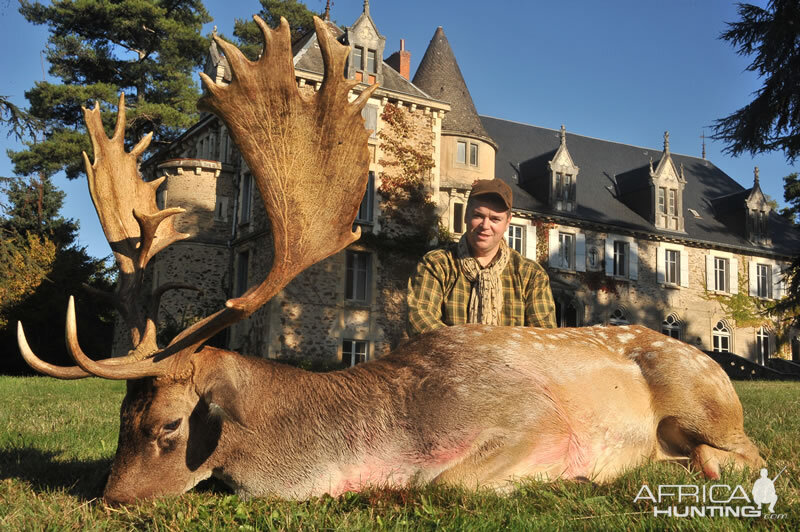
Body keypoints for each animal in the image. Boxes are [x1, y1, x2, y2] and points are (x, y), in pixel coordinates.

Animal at [14, 16, 764, 504]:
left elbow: (445, 480)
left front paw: (581, 471)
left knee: (742, 452)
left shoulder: (529, 421)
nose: (110, 497)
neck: (389, 434)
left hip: (705, 392)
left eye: (168, 424)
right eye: (119, 417)